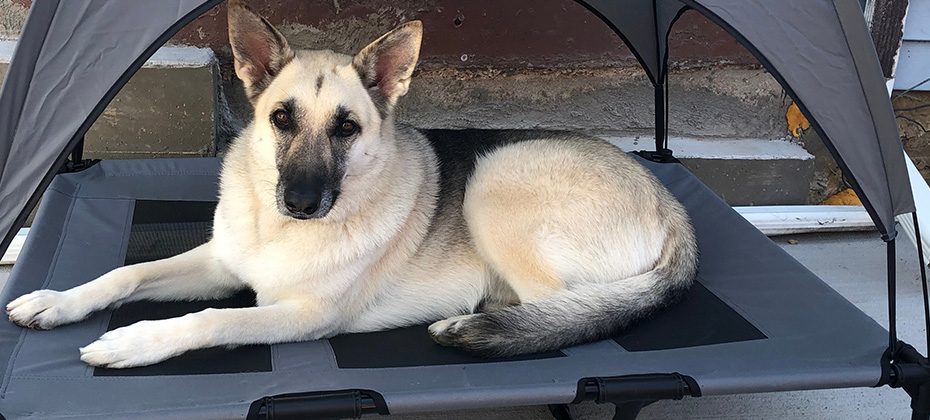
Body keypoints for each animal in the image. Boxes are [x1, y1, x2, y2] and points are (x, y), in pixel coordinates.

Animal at [5, 0, 688, 368]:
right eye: (281, 119)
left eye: (347, 127)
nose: (301, 203)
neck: (274, 228)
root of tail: (672, 206)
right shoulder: (222, 264)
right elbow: (127, 273)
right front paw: (57, 301)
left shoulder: (299, 316)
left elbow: (210, 320)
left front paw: (136, 341)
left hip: (494, 181)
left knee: (563, 310)